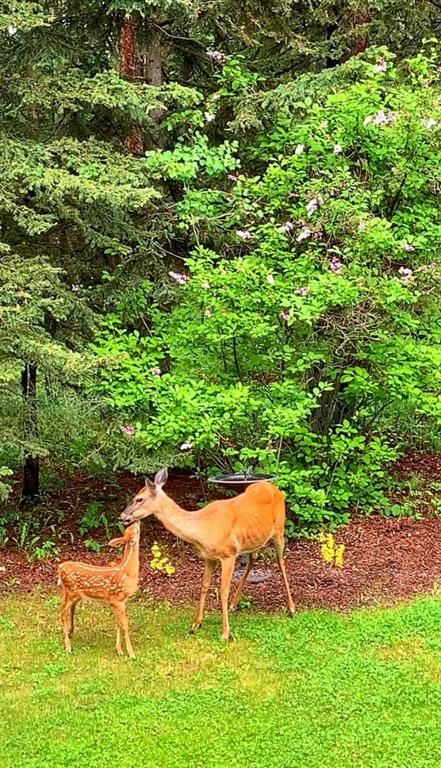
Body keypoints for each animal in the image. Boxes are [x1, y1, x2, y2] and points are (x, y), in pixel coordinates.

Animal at [57, 522, 140, 659]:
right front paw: (131, 653)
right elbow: (124, 624)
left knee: (68, 609)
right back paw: (68, 646)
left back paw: (70, 633)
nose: (136, 522)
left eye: (130, 528)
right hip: (71, 591)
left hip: (70, 592)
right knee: (62, 612)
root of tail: (60, 568)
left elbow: (118, 623)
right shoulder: (117, 599)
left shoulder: (118, 602)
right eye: (136, 530)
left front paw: (119, 649)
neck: (127, 572)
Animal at [120, 468, 295, 641]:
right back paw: (234, 604)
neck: (202, 528)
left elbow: (223, 591)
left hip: (279, 530)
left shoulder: (229, 554)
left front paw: (225, 633)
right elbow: (204, 585)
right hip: (254, 540)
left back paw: (291, 608)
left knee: (281, 562)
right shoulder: (209, 557)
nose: (122, 516)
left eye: (139, 499)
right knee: (253, 558)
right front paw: (196, 624)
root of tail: (274, 489)